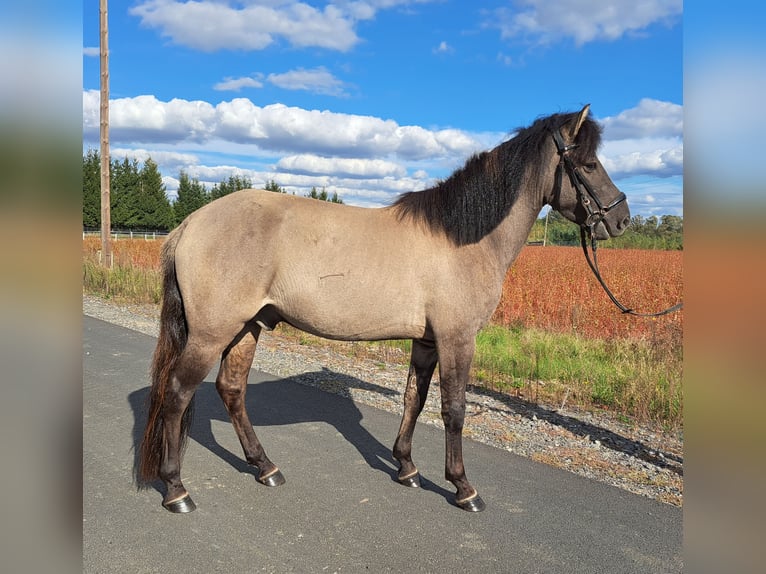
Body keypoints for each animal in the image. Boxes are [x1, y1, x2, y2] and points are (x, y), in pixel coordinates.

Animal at [136, 106, 632, 516]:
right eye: (588, 164)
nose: (621, 218)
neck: (462, 238)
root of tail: (189, 224)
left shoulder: (426, 340)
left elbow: (415, 398)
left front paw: (407, 468)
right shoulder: (457, 339)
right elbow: (454, 409)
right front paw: (463, 488)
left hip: (248, 326)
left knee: (232, 389)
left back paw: (265, 468)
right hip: (211, 333)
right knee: (177, 393)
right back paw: (177, 489)